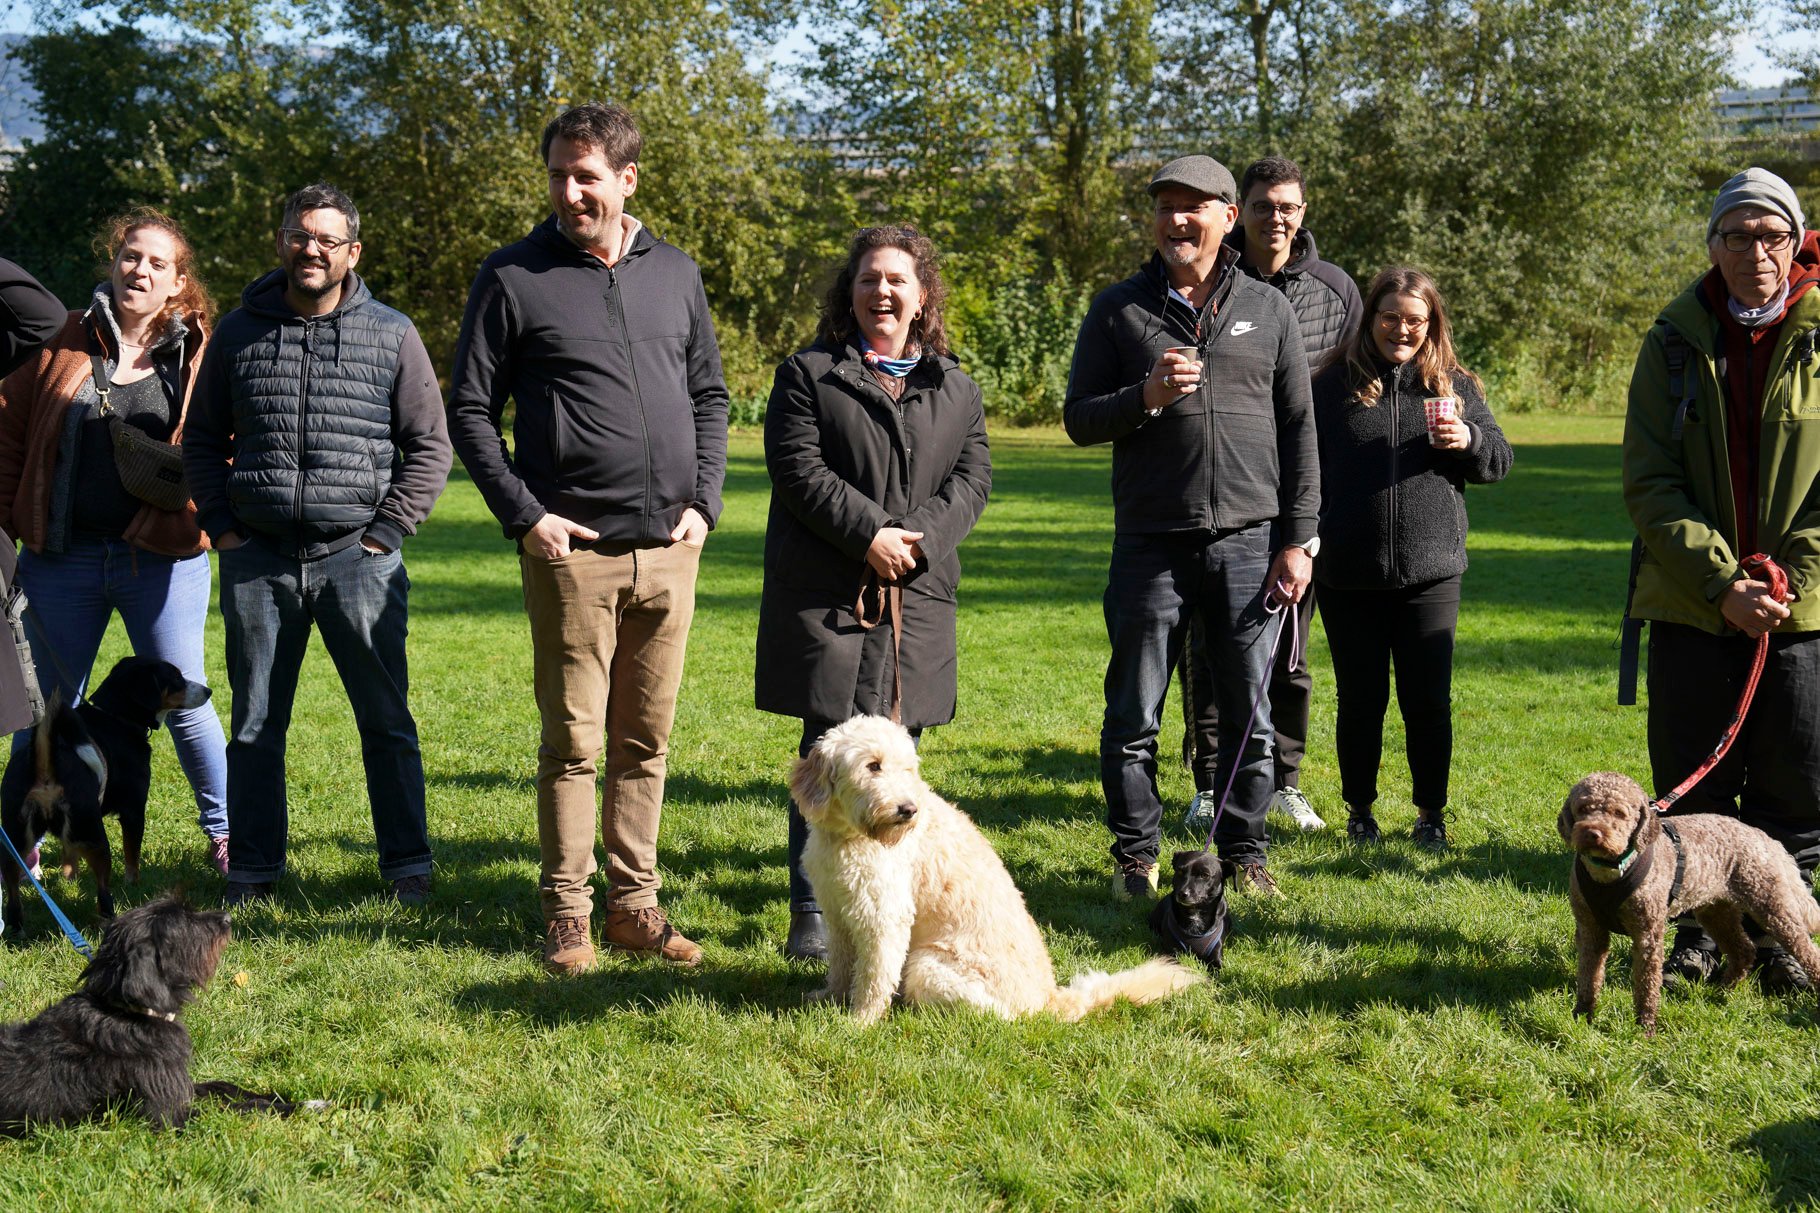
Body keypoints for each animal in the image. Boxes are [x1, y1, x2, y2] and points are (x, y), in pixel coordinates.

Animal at [0, 896, 302, 1129]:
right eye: (184, 923)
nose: (228, 917)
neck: (131, 1013)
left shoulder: (180, 1084)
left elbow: (225, 1086)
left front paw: (279, 1095)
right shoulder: (169, 1114)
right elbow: (237, 1109)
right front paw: (299, 1107)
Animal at [1, 656, 209, 934]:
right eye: (176, 678)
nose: (208, 691)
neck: (116, 717)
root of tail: (46, 763)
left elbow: (70, 855)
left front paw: (69, 878)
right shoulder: (134, 810)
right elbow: (132, 854)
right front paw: (133, 885)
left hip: (14, 841)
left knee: (13, 890)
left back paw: (16, 928)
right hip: (95, 837)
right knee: (103, 890)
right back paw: (110, 918)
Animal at [790, 715, 1202, 1025]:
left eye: (907, 769)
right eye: (872, 765)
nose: (908, 810)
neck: (849, 836)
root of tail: (1048, 999)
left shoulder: (884, 919)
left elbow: (874, 975)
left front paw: (860, 1021)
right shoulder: (839, 912)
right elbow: (842, 963)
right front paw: (829, 996)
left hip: (926, 965)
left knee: (999, 1018)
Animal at [1559, 771, 1820, 1033]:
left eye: (1619, 813)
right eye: (1583, 808)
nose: (1592, 833)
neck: (1610, 872)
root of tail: (1764, 837)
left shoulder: (1648, 934)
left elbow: (1646, 983)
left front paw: (1645, 1026)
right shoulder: (1590, 929)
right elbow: (1588, 977)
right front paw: (1582, 1016)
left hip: (1772, 905)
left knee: (1807, 951)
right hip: (1716, 911)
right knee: (1744, 950)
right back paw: (1724, 989)